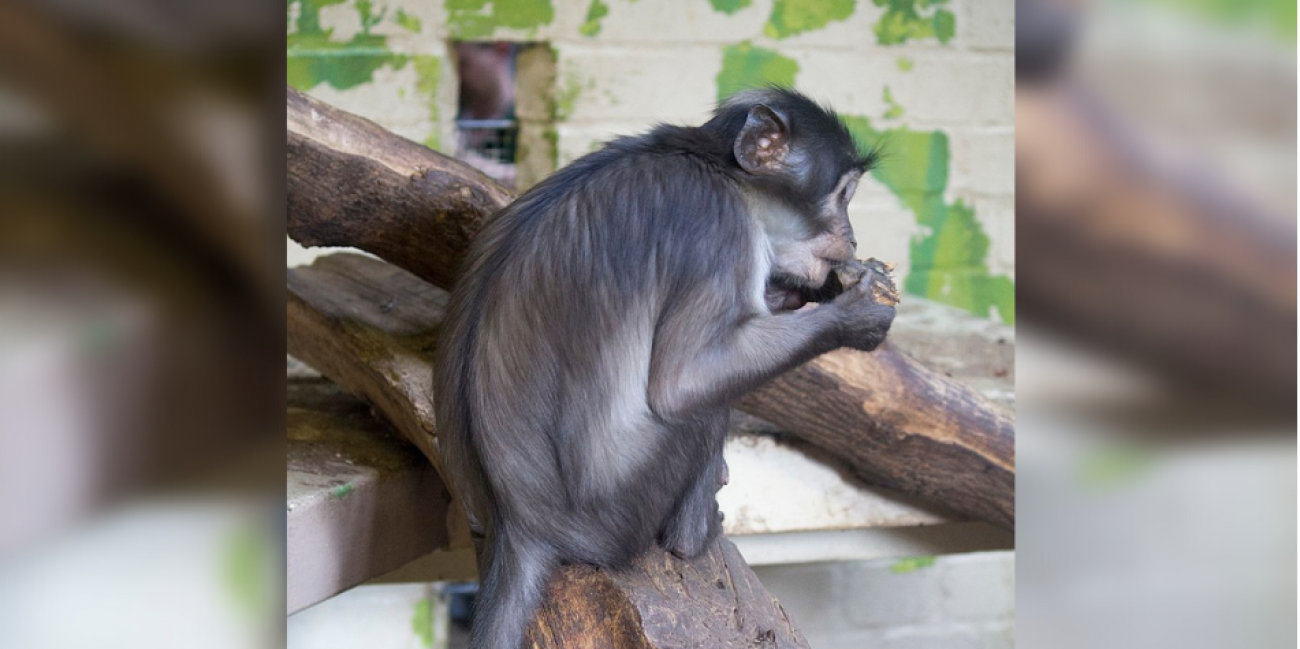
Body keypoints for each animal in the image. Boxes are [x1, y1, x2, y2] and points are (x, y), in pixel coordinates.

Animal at [434, 87, 894, 649]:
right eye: (844, 195)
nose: (851, 237)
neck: (713, 165)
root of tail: (518, 524)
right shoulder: (717, 223)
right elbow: (682, 384)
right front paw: (858, 315)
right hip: (618, 512)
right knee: (700, 410)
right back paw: (691, 536)